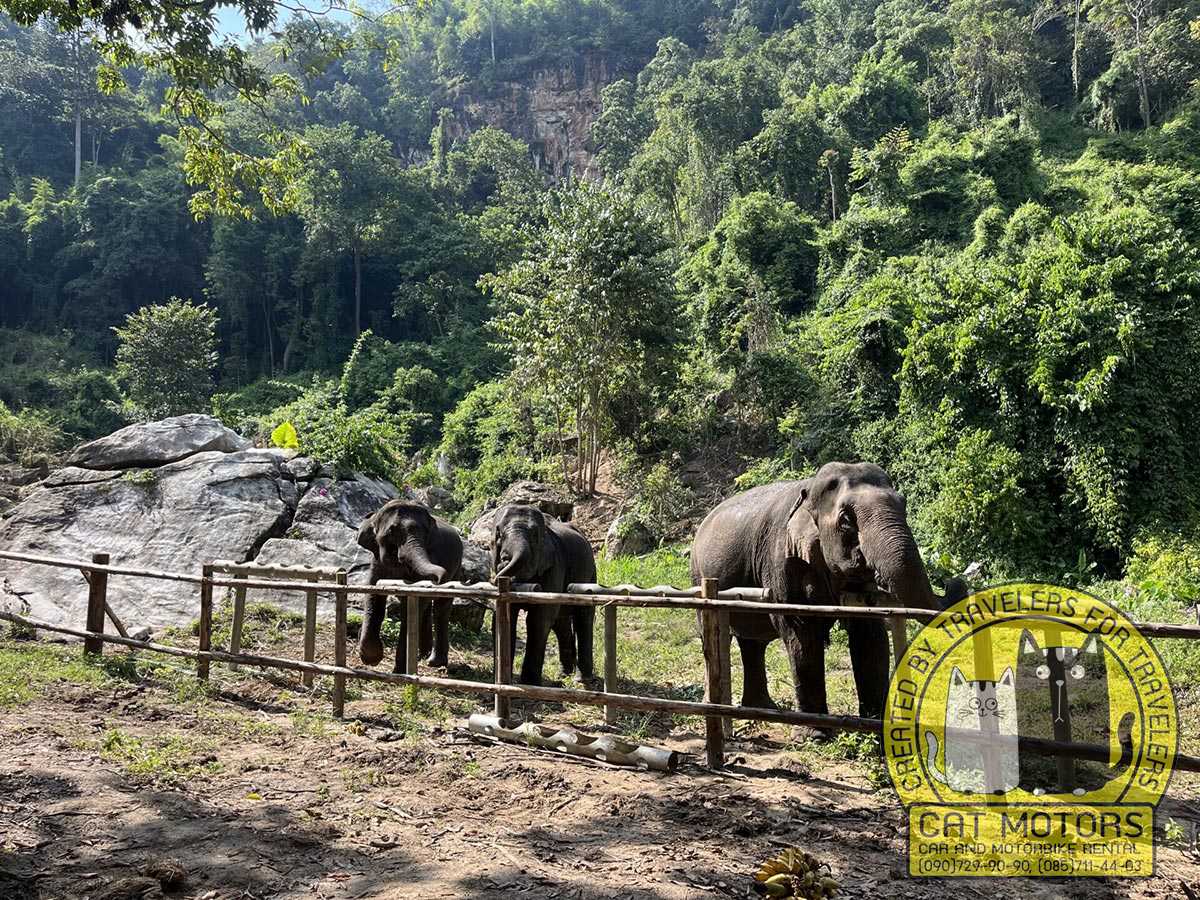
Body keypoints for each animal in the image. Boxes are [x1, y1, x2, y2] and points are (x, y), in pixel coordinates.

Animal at [357, 499, 464, 674]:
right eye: (391, 532)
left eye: (426, 533)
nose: (439, 579)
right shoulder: (377, 562)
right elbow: (374, 596)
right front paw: (372, 659)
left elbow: (411, 608)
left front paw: (398, 671)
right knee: (425, 609)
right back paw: (423, 655)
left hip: (457, 567)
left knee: (440, 608)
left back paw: (433, 662)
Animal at [492, 503, 597, 686]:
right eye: (499, 533)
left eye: (535, 536)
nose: (504, 561)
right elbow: (508, 614)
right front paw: (504, 681)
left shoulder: (554, 566)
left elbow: (539, 618)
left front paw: (529, 683)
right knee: (560, 621)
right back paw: (564, 674)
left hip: (590, 572)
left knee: (582, 616)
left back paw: (581, 679)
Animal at [690, 461, 964, 724]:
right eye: (846, 520)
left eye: (904, 505)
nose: (954, 580)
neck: (809, 488)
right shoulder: (782, 561)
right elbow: (801, 633)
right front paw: (817, 732)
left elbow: (870, 634)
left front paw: (875, 727)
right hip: (700, 577)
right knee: (715, 636)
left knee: (752, 641)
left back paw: (762, 708)